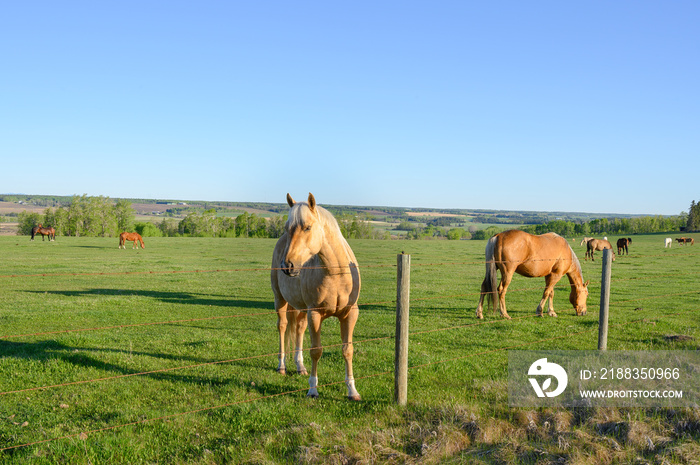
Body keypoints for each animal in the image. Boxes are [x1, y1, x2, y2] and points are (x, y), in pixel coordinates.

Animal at [270, 192, 360, 398]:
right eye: (287, 228)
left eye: (308, 227)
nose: (287, 266)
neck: (337, 273)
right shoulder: (316, 314)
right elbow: (316, 351)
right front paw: (312, 389)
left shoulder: (350, 314)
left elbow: (347, 349)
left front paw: (352, 390)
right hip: (280, 299)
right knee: (282, 326)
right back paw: (282, 366)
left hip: (302, 308)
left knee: (299, 329)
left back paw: (300, 366)